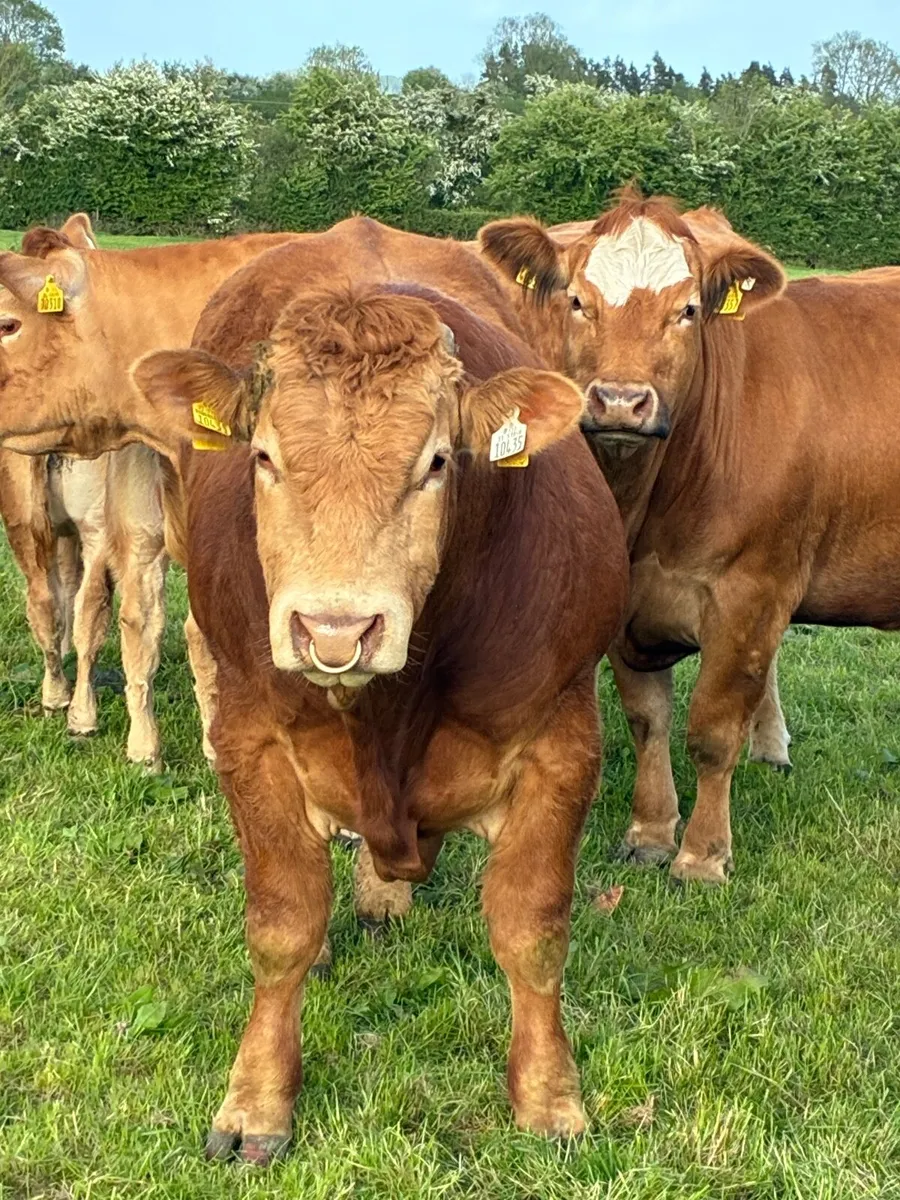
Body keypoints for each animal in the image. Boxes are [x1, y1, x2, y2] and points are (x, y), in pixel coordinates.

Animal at [0, 218, 298, 765]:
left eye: (8, 325)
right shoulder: (135, 533)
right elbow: (138, 624)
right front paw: (143, 744)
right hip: (28, 516)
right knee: (52, 605)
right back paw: (62, 699)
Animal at [479, 188, 900, 884]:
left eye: (689, 310)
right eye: (577, 301)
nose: (621, 401)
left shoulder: (751, 594)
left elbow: (711, 732)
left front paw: (702, 854)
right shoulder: (629, 596)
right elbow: (648, 719)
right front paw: (650, 832)